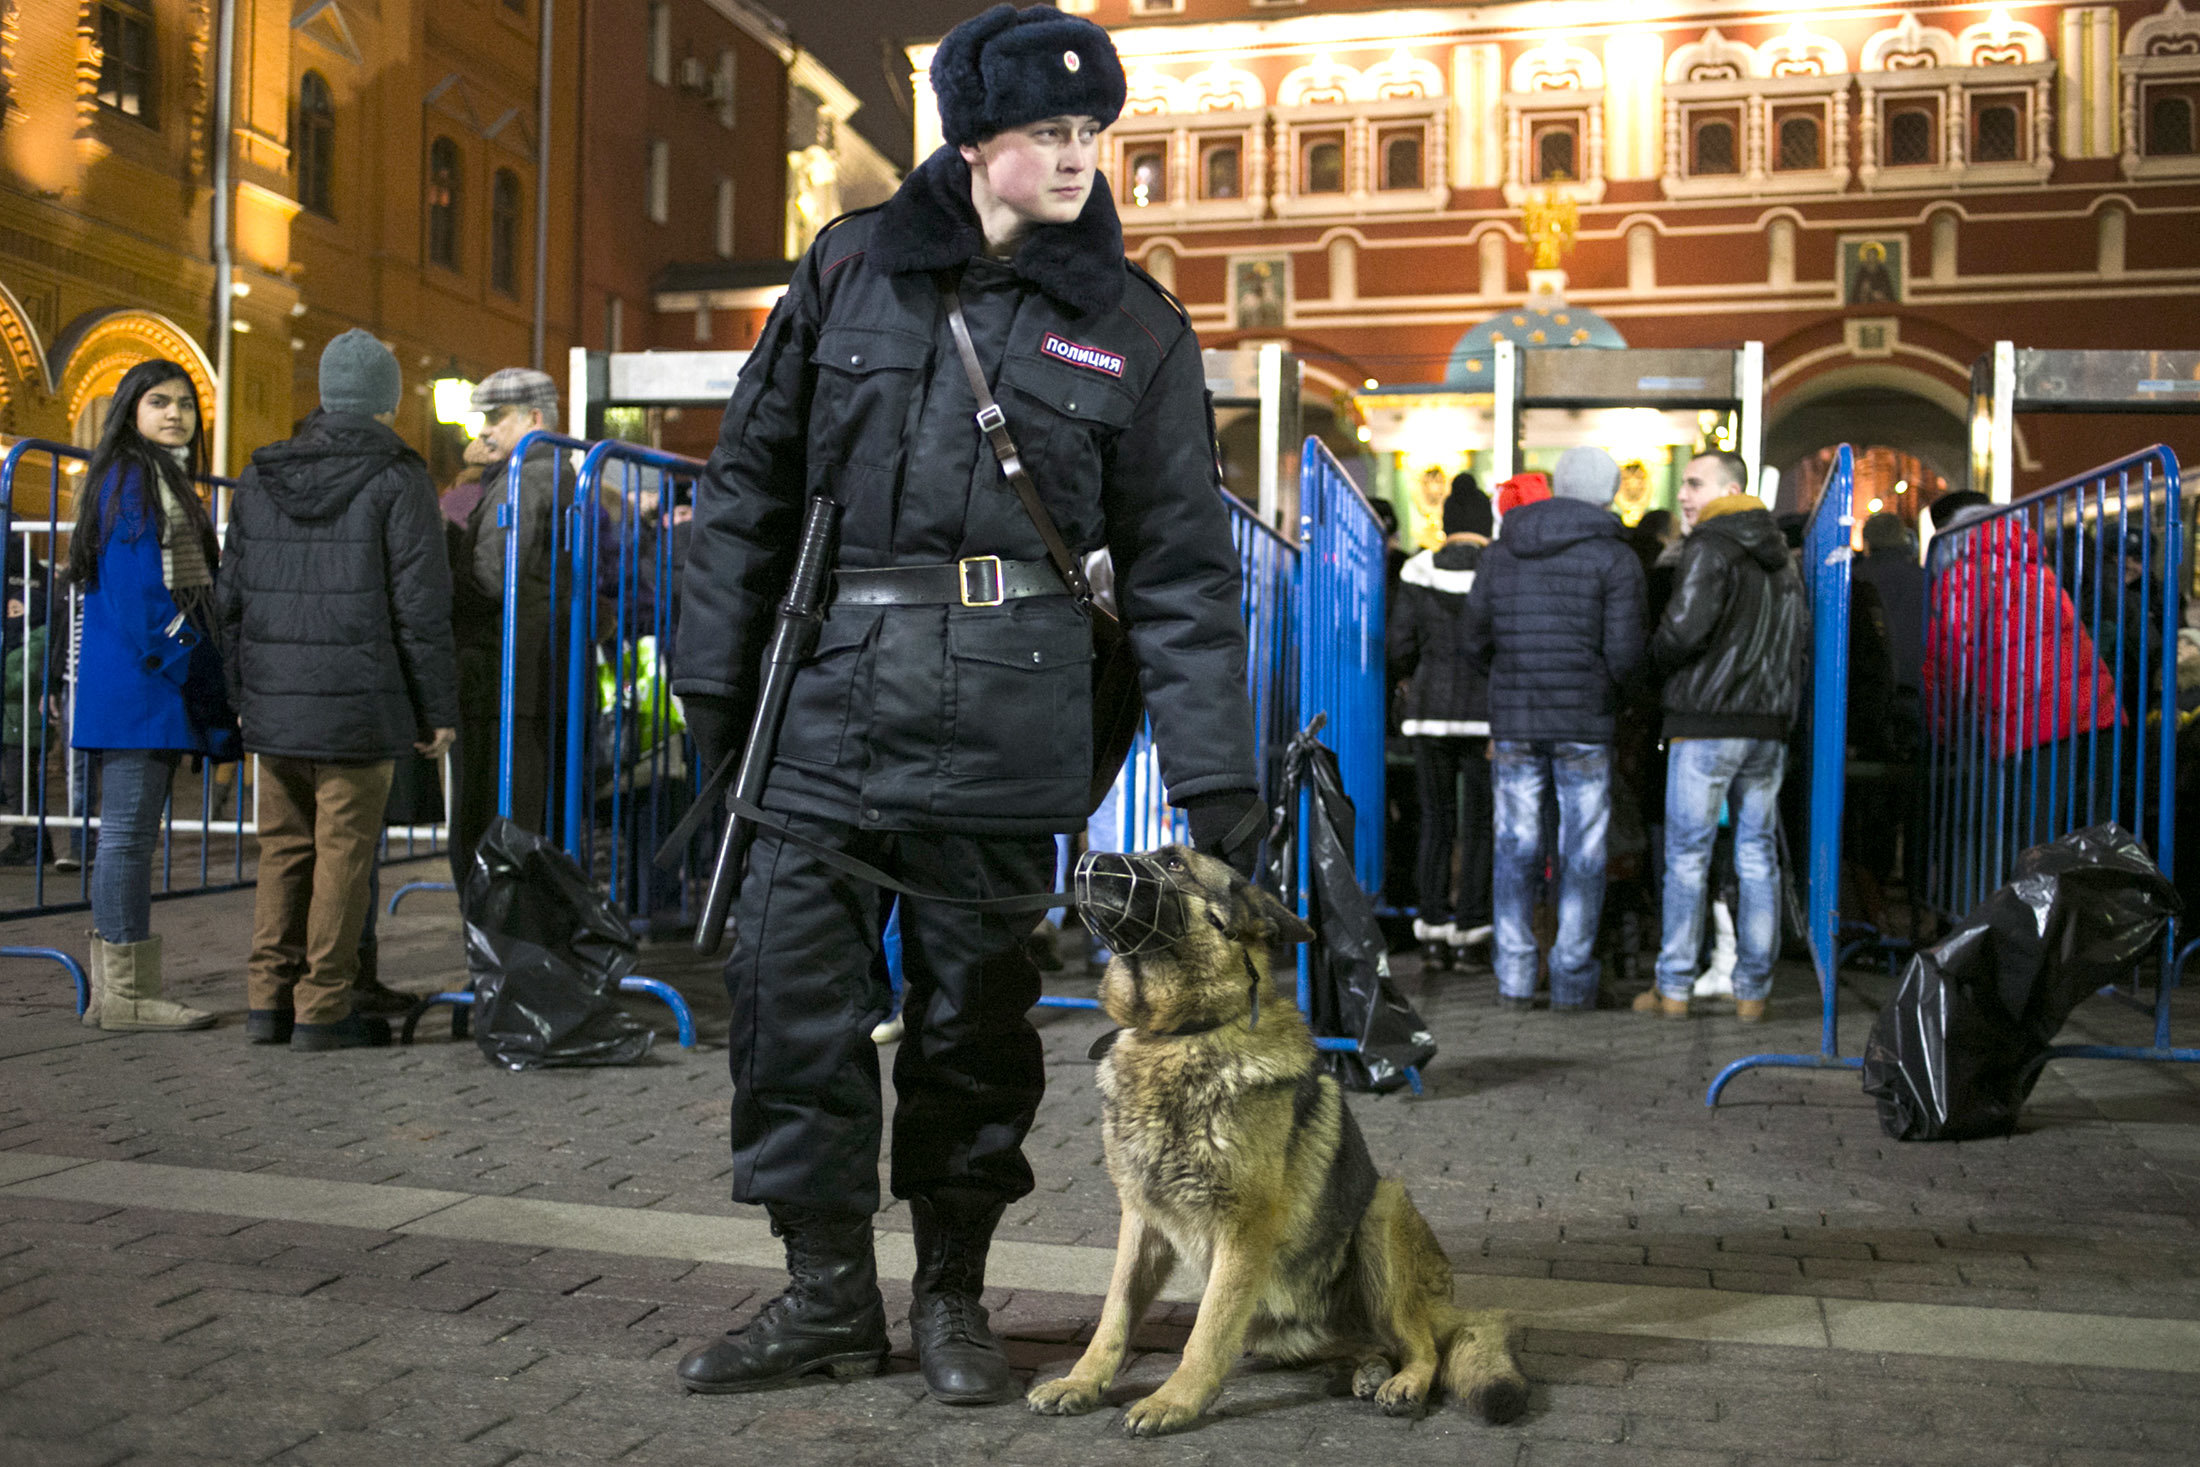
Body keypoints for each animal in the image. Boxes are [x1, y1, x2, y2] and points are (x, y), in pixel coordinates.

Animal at [1029, 848, 1531, 1434]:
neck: (1182, 1034)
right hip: (1276, 1327)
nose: (1085, 858)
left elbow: (1206, 1331)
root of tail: (1446, 1305)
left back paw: (1404, 1380)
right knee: (1367, 1344)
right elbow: (1114, 1314)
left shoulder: (1242, 1231)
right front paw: (1081, 1381)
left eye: (1174, 864)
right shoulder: (1140, 1220)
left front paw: (1174, 1400)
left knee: (1421, 1342)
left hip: (1381, 1213)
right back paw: (1368, 1369)